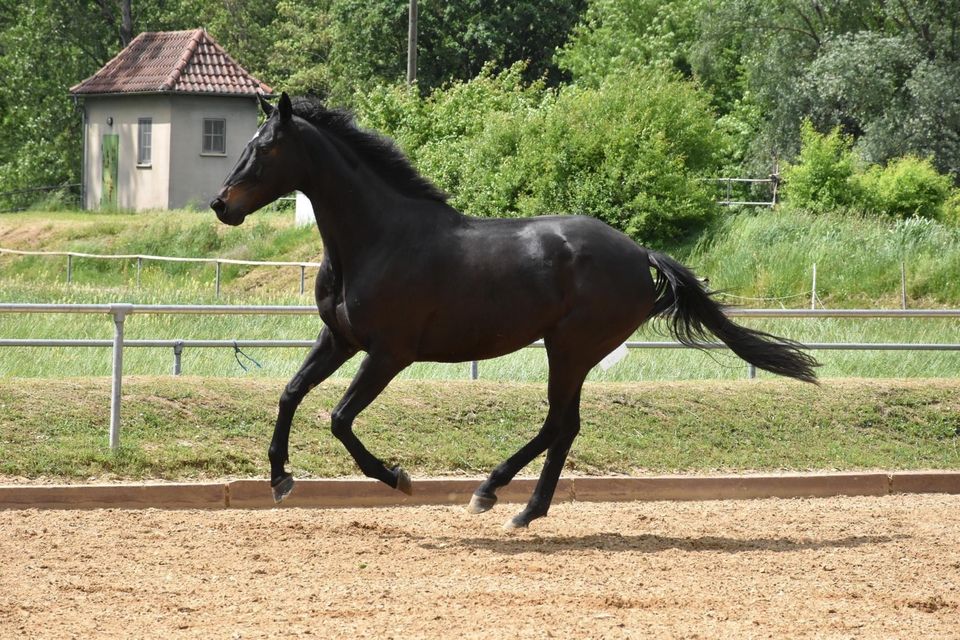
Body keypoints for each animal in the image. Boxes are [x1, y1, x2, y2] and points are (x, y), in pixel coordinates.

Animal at [212, 91, 816, 528]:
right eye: (248, 142)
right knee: (564, 426)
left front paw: (397, 477)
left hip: (570, 349)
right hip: (565, 351)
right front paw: (280, 479)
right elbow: (290, 394)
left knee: (560, 424)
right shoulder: (339, 339)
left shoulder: (388, 354)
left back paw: (495, 496)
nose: (221, 205)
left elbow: (339, 418)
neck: (377, 239)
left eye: (265, 148)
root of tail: (639, 252)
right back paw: (520, 507)